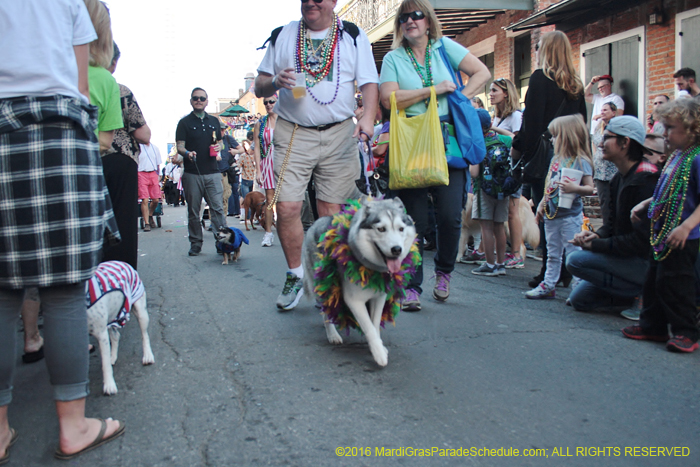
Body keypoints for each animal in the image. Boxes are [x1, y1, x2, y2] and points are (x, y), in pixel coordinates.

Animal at [300, 196, 416, 368]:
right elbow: (368, 327)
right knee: (326, 309)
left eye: (401, 229)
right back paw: (332, 334)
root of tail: (314, 222)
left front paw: (379, 347)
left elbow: (375, 324)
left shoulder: (379, 297)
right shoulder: (354, 301)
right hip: (321, 282)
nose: (397, 249)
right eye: (381, 229)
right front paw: (379, 354)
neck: (371, 268)